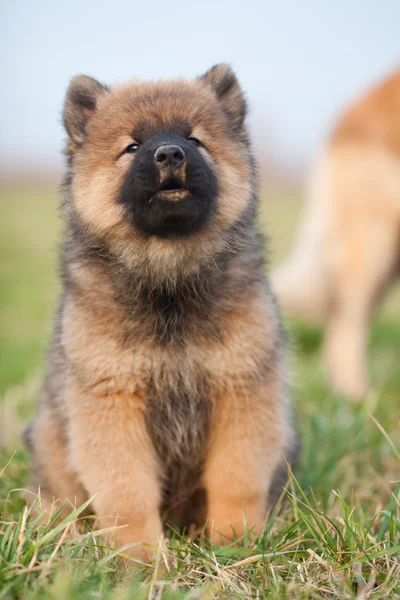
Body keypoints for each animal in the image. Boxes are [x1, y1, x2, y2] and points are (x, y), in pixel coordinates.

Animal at [25, 64, 296, 556]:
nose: (169, 152)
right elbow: (127, 494)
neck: (168, 284)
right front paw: (141, 560)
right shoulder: (111, 399)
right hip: (51, 437)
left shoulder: (241, 389)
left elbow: (236, 480)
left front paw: (235, 545)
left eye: (195, 140)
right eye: (132, 147)